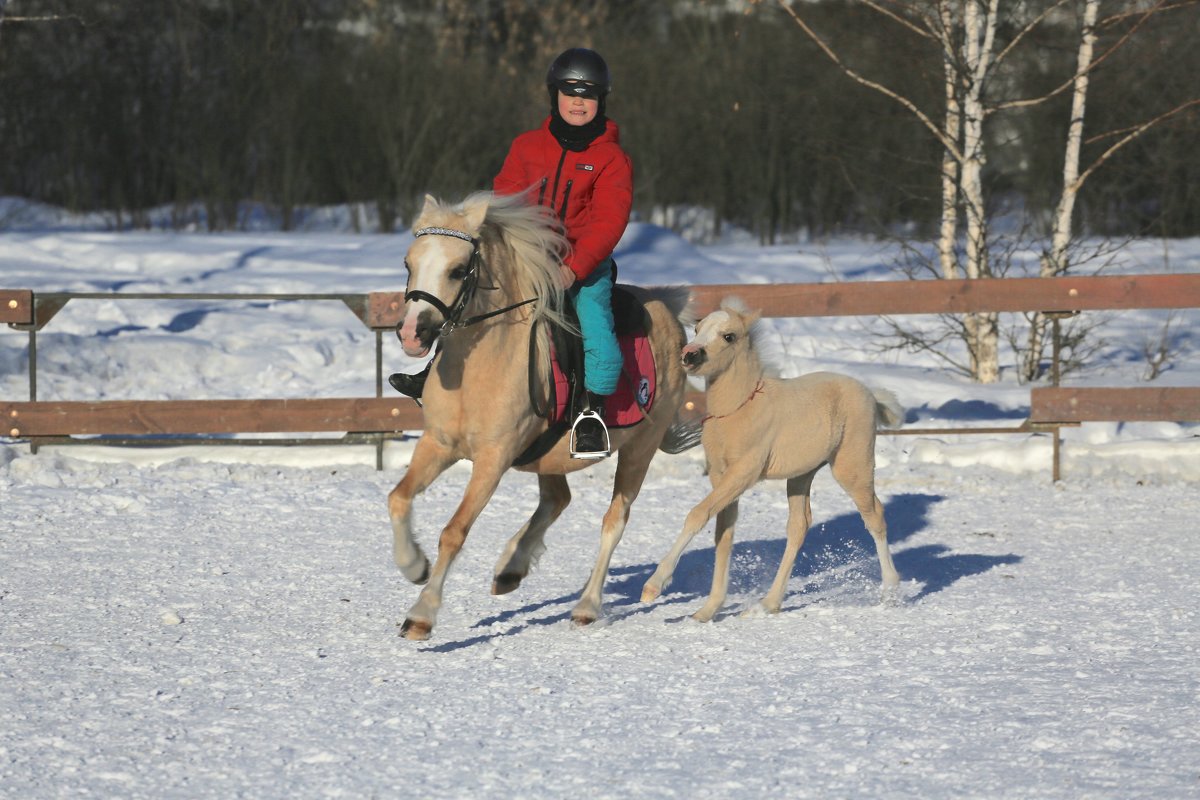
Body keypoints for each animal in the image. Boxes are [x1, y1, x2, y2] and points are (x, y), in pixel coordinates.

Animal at [388, 190, 700, 642]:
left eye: (458, 269)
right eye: (409, 263)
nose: (413, 333)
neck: (480, 363)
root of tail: (670, 312)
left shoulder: (493, 460)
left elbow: (454, 531)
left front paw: (421, 614)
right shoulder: (438, 443)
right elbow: (398, 498)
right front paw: (413, 565)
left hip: (640, 448)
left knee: (614, 520)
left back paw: (586, 605)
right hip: (550, 454)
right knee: (557, 499)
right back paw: (510, 568)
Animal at [638, 297, 902, 623]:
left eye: (729, 336)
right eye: (697, 329)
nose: (690, 355)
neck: (738, 409)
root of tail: (871, 394)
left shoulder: (744, 473)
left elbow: (698, 515)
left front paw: (654, 586)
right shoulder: (721, 477)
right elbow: (723, 535)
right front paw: (708, 610)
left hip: (852, 467)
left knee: (874, 516)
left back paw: (890, 591)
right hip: (801, 476)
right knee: (799, 527)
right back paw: (767, 603)